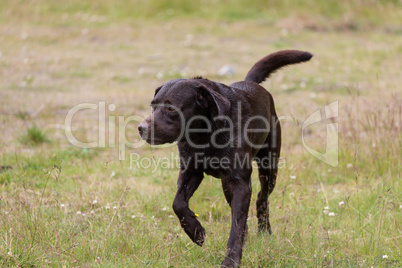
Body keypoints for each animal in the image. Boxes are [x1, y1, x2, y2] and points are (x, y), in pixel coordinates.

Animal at [137, 49, 310, 266]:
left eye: (170, 108)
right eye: (153, 106)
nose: (140, 128)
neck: (205, 134)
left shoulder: (240, 183)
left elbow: (236, 224)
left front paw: (231, 260)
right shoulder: (191, 171)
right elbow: (178, 203)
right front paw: (196, 232)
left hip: (268, 167)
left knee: (261, 198)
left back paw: (264, 232)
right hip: (227, 184)